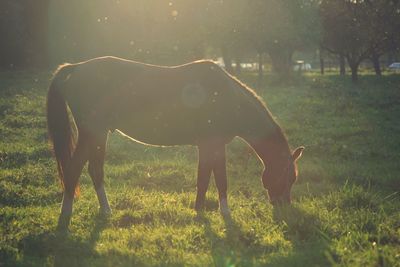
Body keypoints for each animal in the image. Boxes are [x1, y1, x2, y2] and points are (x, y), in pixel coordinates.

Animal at [46, 57, 304, 228]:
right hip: (93, 133)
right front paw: (225, 213)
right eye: (287, 177)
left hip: (98, 135)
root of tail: (74, 69)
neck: (226, 97)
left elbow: (204, 179)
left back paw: (105, 211)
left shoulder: (208, 146)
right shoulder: (213, 144)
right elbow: (219, 179)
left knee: (94, 170)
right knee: (75, 169)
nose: (284, 209)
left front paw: (199, 211)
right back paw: (67, 214)